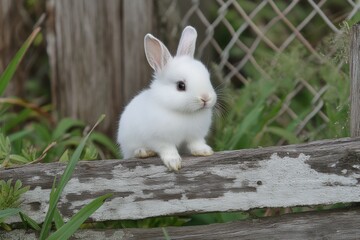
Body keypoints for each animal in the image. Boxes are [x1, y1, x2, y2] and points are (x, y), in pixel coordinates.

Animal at [117, 26, 217, 171]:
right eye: (181, 85)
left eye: (207, 77)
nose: (205, 98)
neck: (184, 113)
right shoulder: (160, 140)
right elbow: (168, 149)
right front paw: (174, 163)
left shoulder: (195, 136)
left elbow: (196, 144)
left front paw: (204, 151)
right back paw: (144, 152)